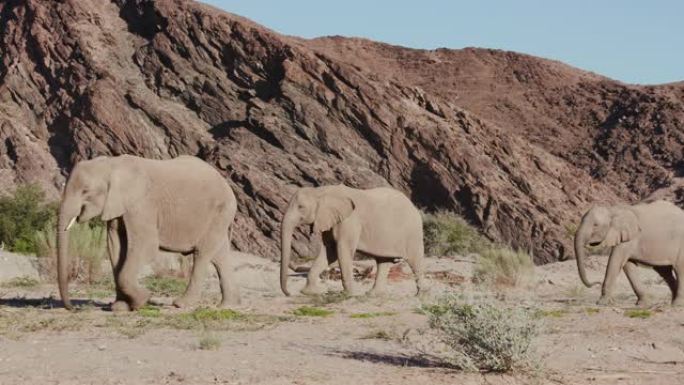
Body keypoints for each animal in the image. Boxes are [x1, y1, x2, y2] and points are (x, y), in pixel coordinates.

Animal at [58, 154, 240, 310]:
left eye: (85, 190)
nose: (72, 308)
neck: (112, 164)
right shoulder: (117, 206)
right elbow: (115, 248)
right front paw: (121, 307)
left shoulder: (142, 205)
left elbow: (146, 245)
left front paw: (143, 299)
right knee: (219, 256)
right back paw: (226, 306)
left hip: (220, 212)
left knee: (201, 255)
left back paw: (181, 304)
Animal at [278, 184, 422, 296]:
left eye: (301, 207)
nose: (289, 293)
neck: (321, 190)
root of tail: (413, 206)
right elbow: (329, 252)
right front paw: (313, 292)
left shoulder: (350, 221)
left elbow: (342, 250)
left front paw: (349, 294)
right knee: (383, 261)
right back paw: (373, 295)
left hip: (413, 232)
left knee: (414, 261)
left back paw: (420, 295)